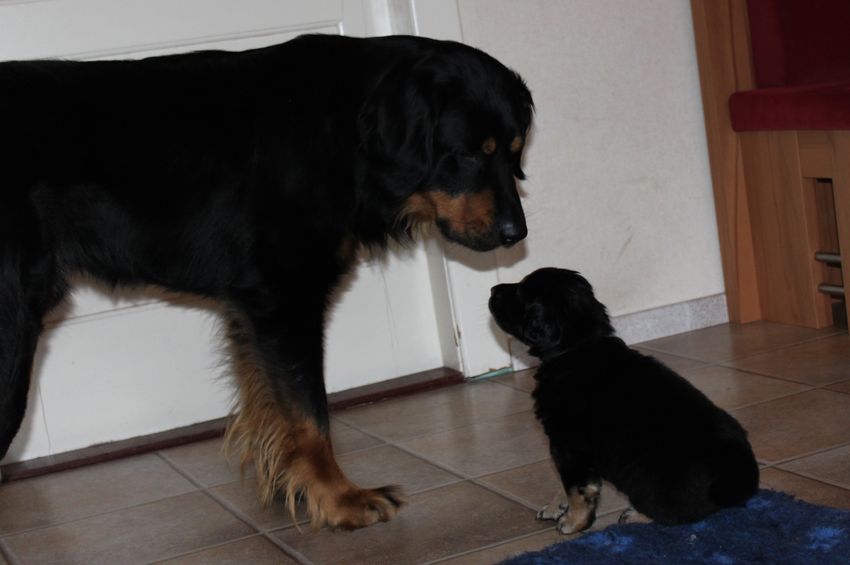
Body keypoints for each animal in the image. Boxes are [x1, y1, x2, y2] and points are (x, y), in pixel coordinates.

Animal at [0, 34, 533, 530]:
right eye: (467, 154)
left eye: (513, 153)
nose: (517, 235)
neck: (341, 126)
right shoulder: (284, 301)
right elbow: (311, 417)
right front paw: (339, 500)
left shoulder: (251, 311)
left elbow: (272, 410)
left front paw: (292, 487)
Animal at [489, 268, 759, 534]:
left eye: (521, 293)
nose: (492, 289)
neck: (579, 348)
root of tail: (741, 470)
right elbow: (563, 479)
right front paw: (557, 506)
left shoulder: (568, 445)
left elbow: (577, 486)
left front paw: (573, 522)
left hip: (646, 482)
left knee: (678, 514)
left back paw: (635, 516)